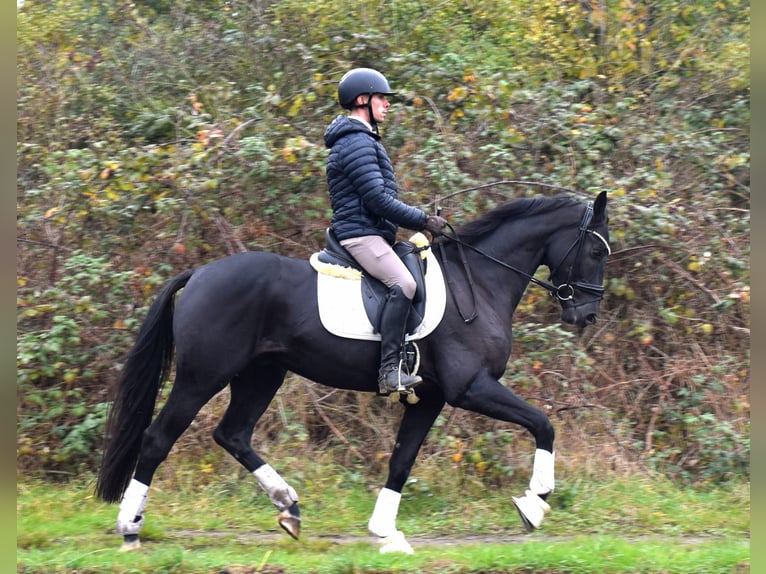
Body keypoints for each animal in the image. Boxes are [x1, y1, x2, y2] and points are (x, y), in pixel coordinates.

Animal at [96, 191, 612, 556]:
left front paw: (386, 534)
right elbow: (543, 424)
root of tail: (200, 273)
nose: (586, 315)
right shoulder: (471, 388)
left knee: (233, 434)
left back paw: (289, 507)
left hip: (262, 375)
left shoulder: (430, 397)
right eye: (596, 252)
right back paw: (130, 529)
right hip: (202, 376)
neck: (479, 283)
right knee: (159, 439)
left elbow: (402, 460)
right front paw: (534, 504)